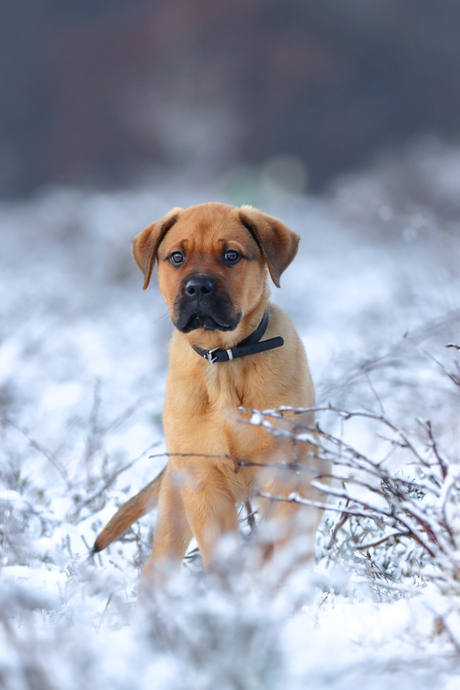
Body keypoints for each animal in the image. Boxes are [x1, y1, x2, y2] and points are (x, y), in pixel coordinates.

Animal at [92, 199, 328, 584]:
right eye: (176, 257)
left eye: (231, 255)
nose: (198, 288)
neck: (225, 363)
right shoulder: (204, 485)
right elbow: (222, 557)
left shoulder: (283, 475)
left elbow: (274, 546)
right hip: (176, 507)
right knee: (156, 571)